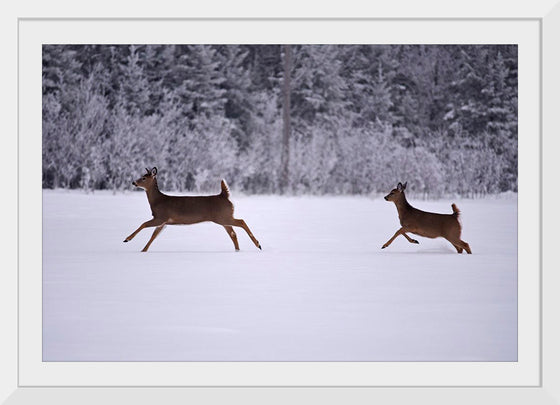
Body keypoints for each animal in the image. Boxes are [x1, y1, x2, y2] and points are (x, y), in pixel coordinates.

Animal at [123, 166, 262, 251]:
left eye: (143, 178)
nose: (133, 182)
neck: (157, 201)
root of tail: (224, 196)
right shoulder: (164, 222)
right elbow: (153, 236)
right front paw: (143, 250)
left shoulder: (161, 217)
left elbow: (144, 224)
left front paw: (127, 239)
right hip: (224, 218)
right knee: (233, 233)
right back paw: (238, 250)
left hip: (223, 217)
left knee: (241, 222)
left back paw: (258, 244)